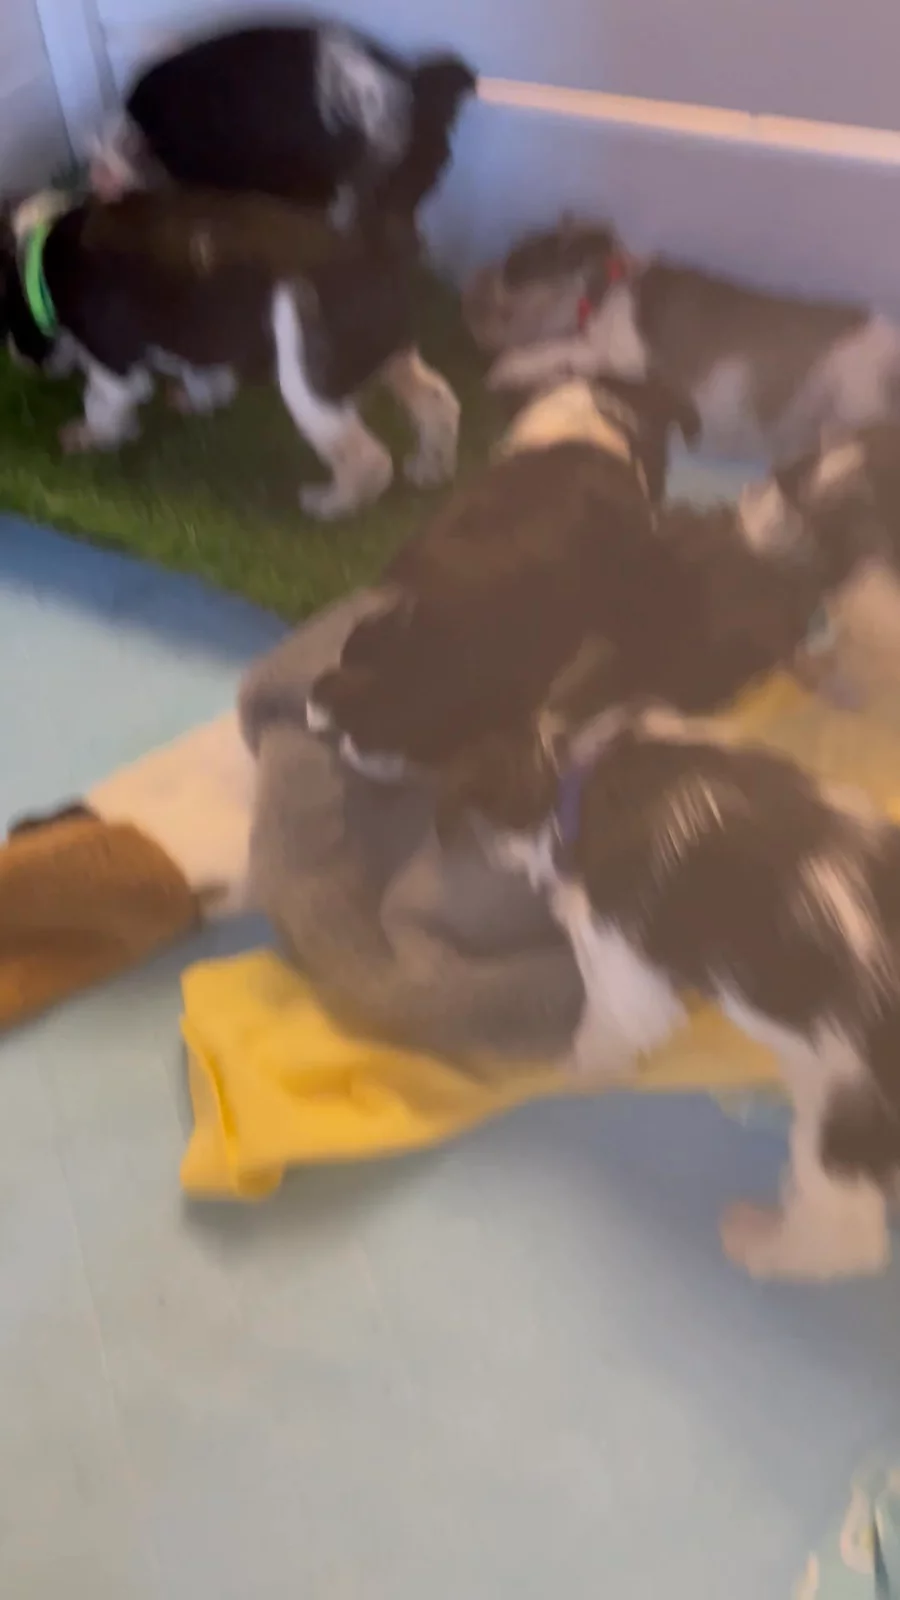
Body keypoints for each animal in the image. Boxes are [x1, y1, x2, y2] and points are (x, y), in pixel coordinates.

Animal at [0, 189, 460, 519]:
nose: (19, 361)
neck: (40, 262)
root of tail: (381, 264)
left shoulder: (115, 367)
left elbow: (101, 404)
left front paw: (88, 438)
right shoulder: (199, 337)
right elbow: (205, 378)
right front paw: (195, 401)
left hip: (307, 380)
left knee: (368, 459)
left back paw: (327, 506)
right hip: (390, 358)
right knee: (438, 401)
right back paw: (431, 469)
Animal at [435, 701, 900, 1280]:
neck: (580, 775)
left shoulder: (623, 967)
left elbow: (601, 1029)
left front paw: (568, 1072)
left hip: (850, 1116)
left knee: (843, 1238)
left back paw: (759, 1242)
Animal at [466, 218, 900, 462]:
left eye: (516, 265)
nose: (472, 290)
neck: (606, 286)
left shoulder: (629, 355)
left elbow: (563, 348)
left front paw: (510, 366)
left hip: (853, 390)